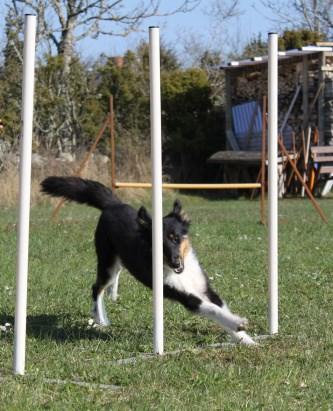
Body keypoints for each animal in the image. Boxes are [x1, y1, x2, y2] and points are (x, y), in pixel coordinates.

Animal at [40, 176, 254, 344]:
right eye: (159, 244)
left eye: (176, 238)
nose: (176, 263)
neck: (179, 273)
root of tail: (113, 204)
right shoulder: (185, 297)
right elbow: (213, 310)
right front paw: (238, 323)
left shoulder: (205, 288)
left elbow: (221, 308)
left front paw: (245, 339)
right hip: (106, 262)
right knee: (96, 288)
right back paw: (101, 319)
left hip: (118, 261)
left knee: (112, 279)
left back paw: (112, 294)